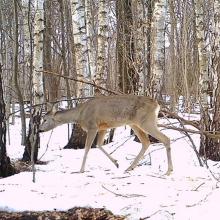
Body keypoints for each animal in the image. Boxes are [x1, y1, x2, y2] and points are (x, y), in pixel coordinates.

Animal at [39, 95, 174, 174]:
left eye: (45, 119)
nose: (39, 130)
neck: (80, 115)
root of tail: (157, 105)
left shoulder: (92, 126)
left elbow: (87, 148)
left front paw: (81, 170)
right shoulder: (103, 127)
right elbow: (99, 145)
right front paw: (116, 163)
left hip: (146, 121)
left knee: (166, 139)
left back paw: (169, 171)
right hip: (135, 123)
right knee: (146, 142)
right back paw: (129, 167)